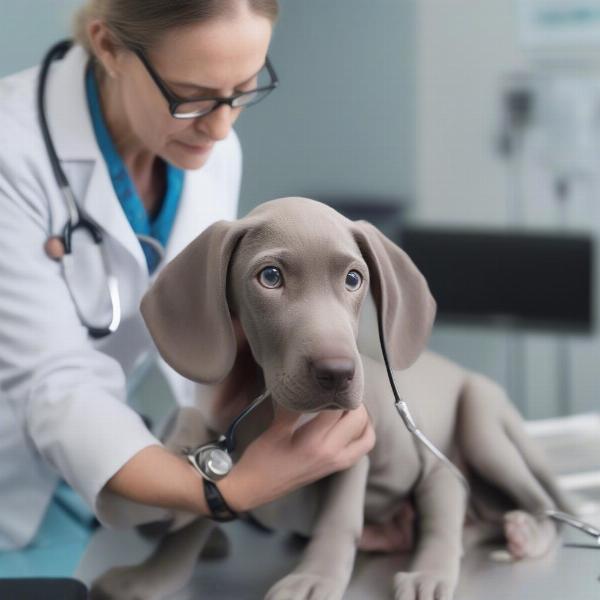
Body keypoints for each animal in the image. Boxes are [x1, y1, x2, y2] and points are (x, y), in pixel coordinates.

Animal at [91, 197, 568, 600]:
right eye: (270, 277)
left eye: (353, 279)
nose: (337, 373)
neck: (262, 400)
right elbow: (170, 511)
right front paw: (152, 576)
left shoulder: (352, 442)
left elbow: (338, 519)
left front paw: (314, 578)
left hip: (480, 426)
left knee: (512, 505)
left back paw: (479, 553)